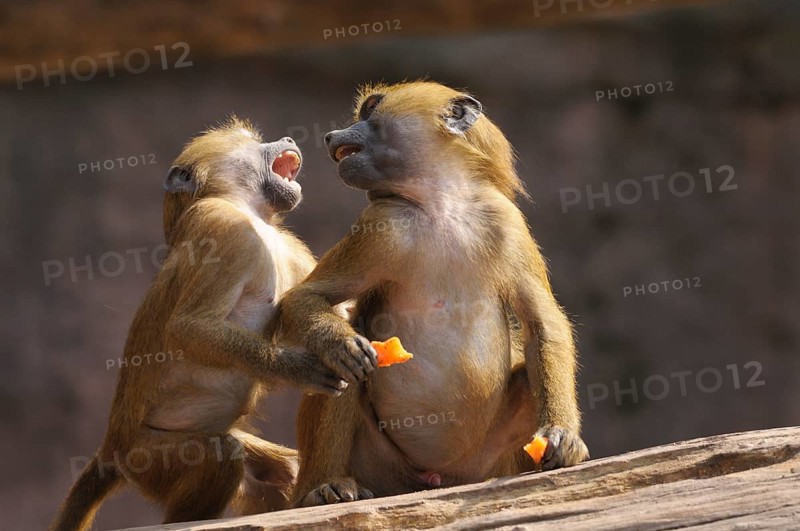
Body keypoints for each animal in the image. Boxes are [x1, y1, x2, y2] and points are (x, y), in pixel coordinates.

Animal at [51, 117, 354, 531]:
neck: (248, 211)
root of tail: (113, 447)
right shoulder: (221, 227)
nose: (289, 138)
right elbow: (189, 329)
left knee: (275, 467)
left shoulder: (286, 244)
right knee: (220, 453)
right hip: (150, 459)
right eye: (250, 142)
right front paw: (303, 368)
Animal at [275, 81, 589, 507]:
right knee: (343, 371)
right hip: (381, 464)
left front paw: (562, 437)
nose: (330, 136)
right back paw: (325, 487)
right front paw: (342, 343)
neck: (441, 205)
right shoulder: (379, 226)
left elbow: (542, 322)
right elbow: (308, 300)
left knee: (526, 380)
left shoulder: (506, 221)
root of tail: (434, 478)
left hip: (482, 462)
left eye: (370, 110)